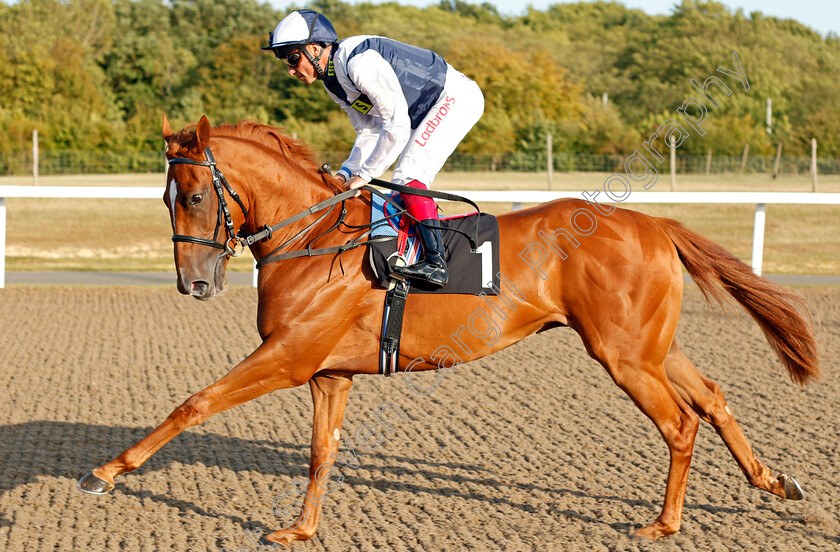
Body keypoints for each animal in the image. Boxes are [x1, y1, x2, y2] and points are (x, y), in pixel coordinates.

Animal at [75, 116, 816, 544]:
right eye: (165, 197)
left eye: (196, 195)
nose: (193, 284)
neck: (313, 236)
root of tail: (655, 223)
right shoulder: (329, 371)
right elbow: (321, 452)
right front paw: (300, 529)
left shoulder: (287, 357)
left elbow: (194, 402)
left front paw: (106, 471)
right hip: (651, 343)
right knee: (712, 395)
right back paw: (774, 482)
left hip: (624, 353)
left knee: (680, 422)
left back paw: (664, 523)